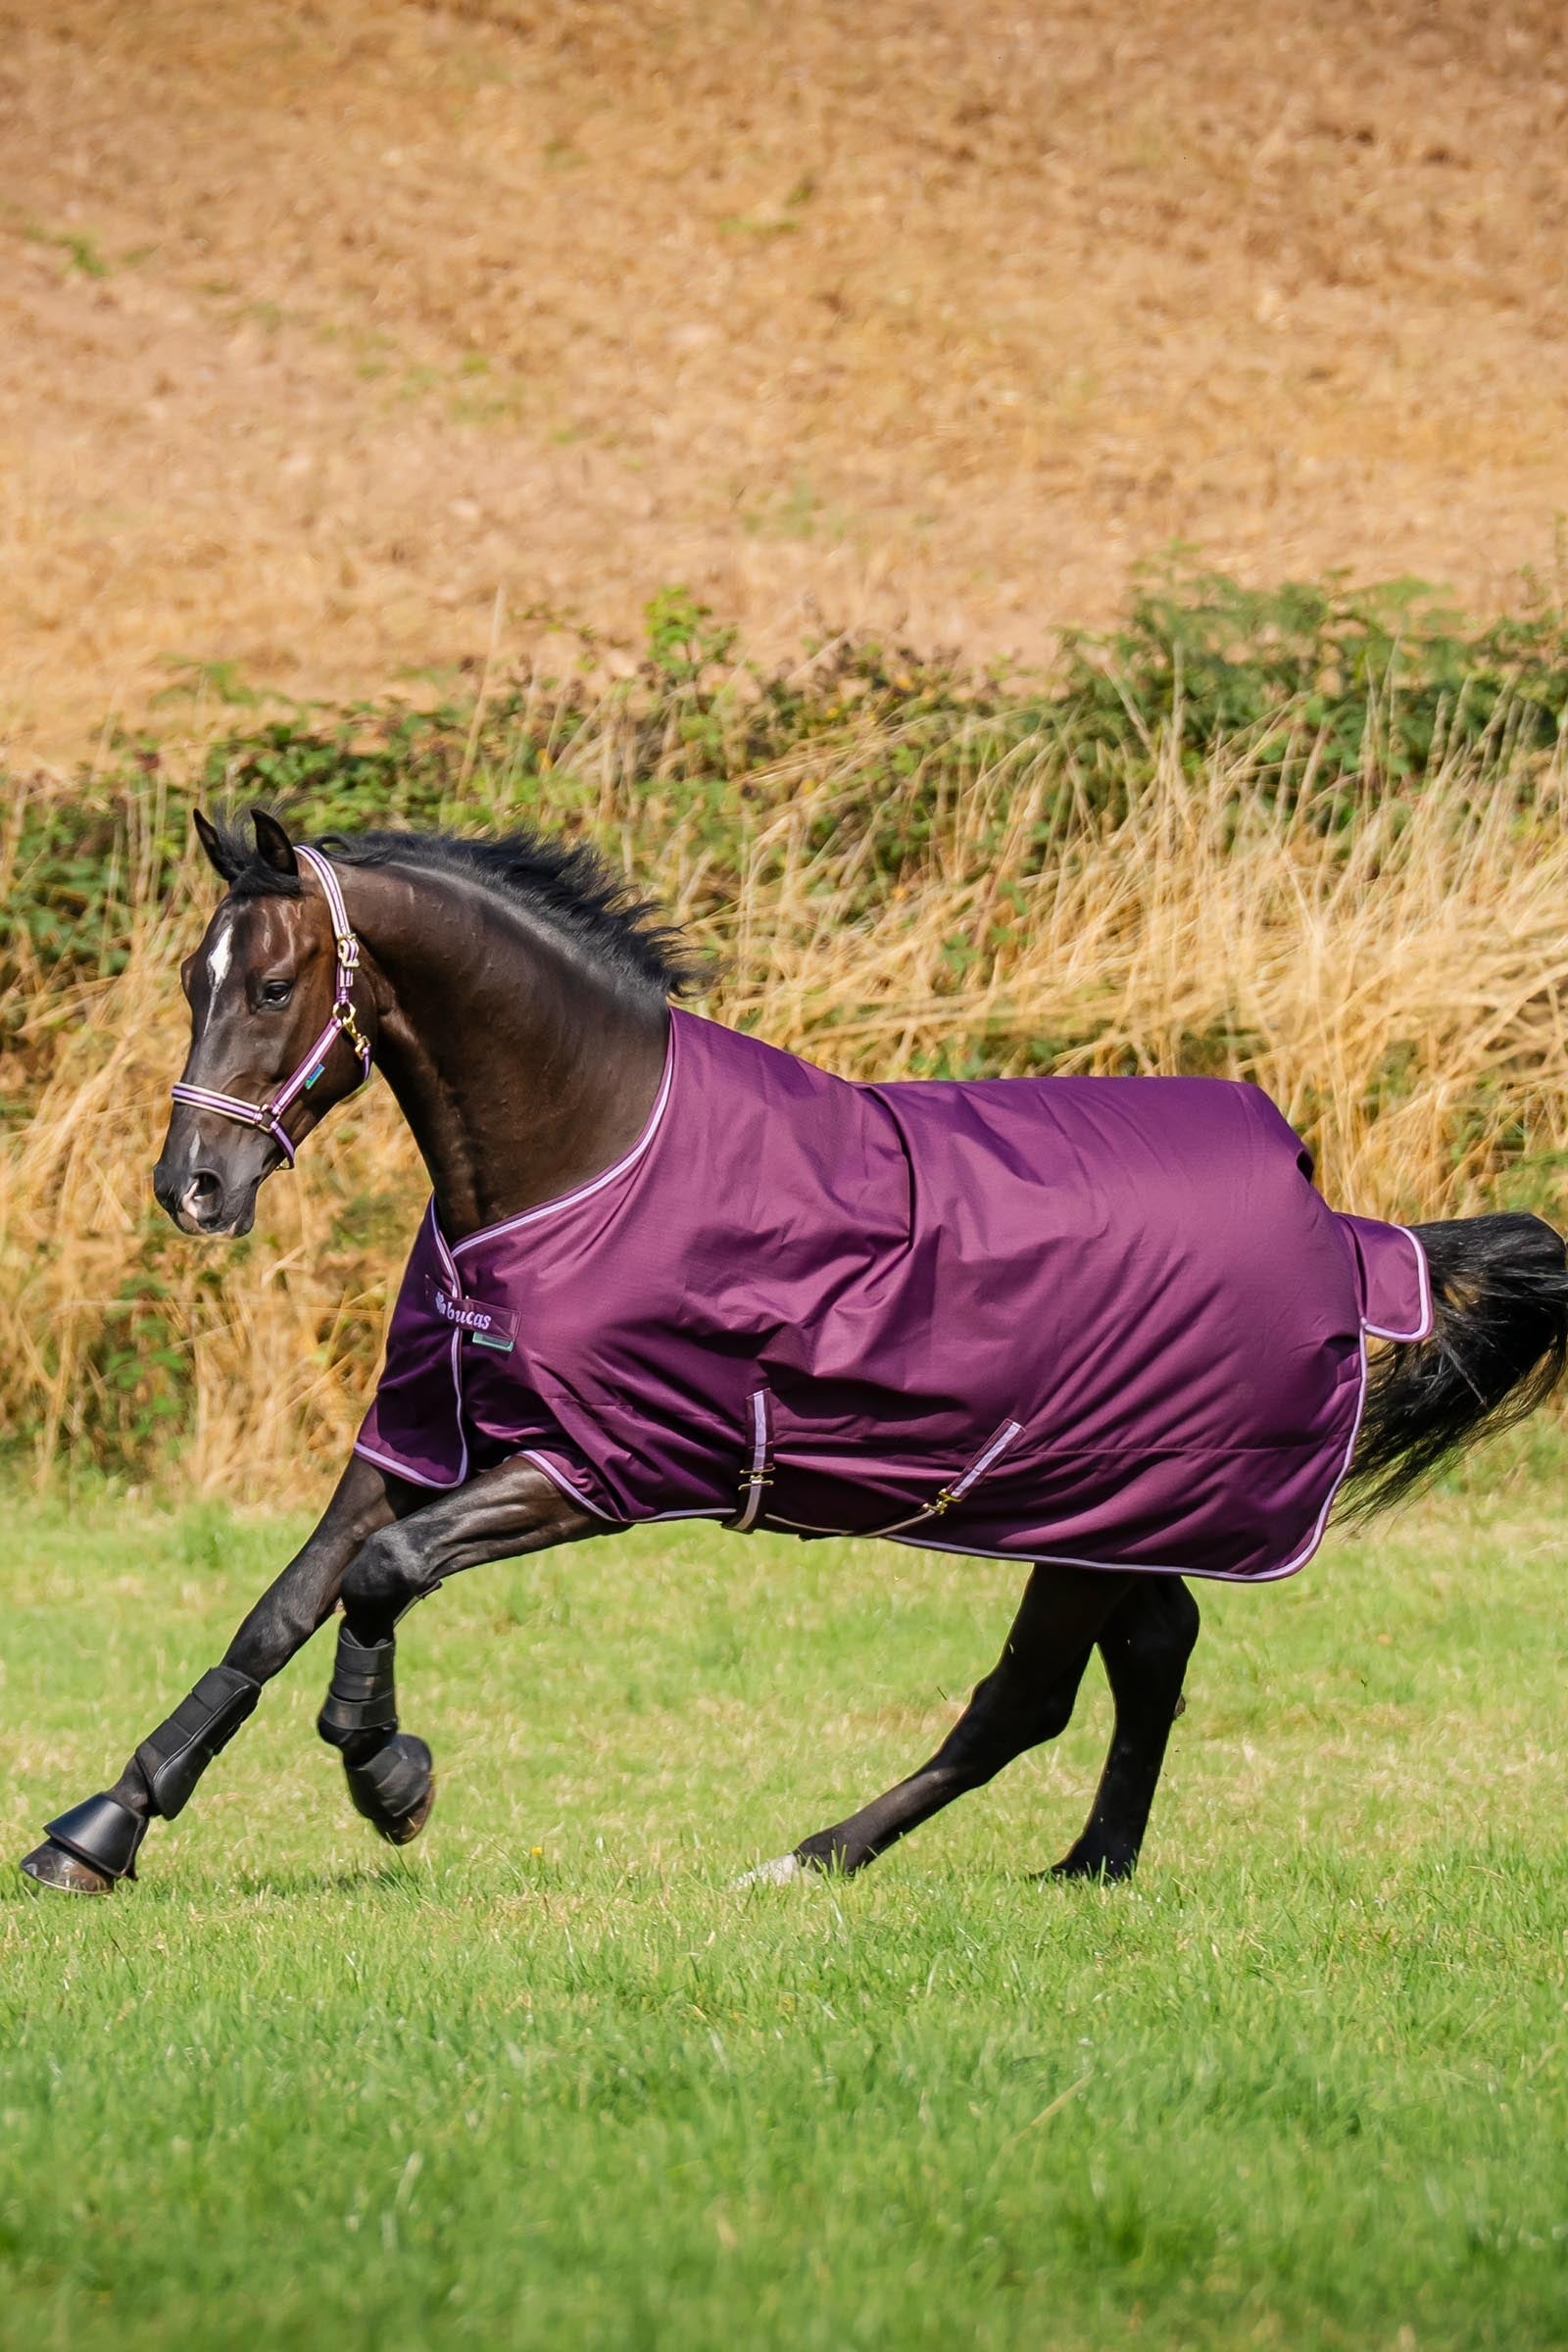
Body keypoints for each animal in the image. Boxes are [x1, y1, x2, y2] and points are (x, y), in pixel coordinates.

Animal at [20, 808, 1568, 1896]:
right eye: (193, 975)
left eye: (275, 984)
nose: (192, 1189)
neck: (586, 1155)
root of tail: (1342, 1224)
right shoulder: (423, 1429)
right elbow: (280, 1608)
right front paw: (97, 1832)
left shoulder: (599, 1466)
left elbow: (383, 1581)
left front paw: (389, 1781)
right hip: (1113, 1513)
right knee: (1148, 1653)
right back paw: (1084, 1865)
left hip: (1088, 1499)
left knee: (1032, 1695)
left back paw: (814, 1857)